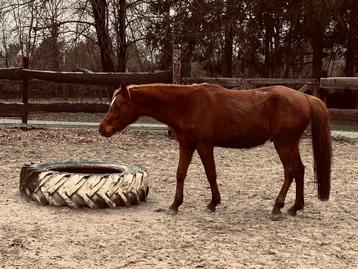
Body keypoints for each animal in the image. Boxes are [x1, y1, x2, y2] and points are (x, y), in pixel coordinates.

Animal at [99, 82, 332, 219]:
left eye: (117, 105)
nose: (102, 129)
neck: (186, 104)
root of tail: (306, 98)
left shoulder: (204, 145)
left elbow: (211, 174)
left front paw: (213, 203)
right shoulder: (186, 144)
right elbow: (180, 173)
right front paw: (175, 204)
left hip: (283, 144)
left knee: (290, 172)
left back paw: (278, 207)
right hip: (291, 144)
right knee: (300, 170)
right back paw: (295, 207)